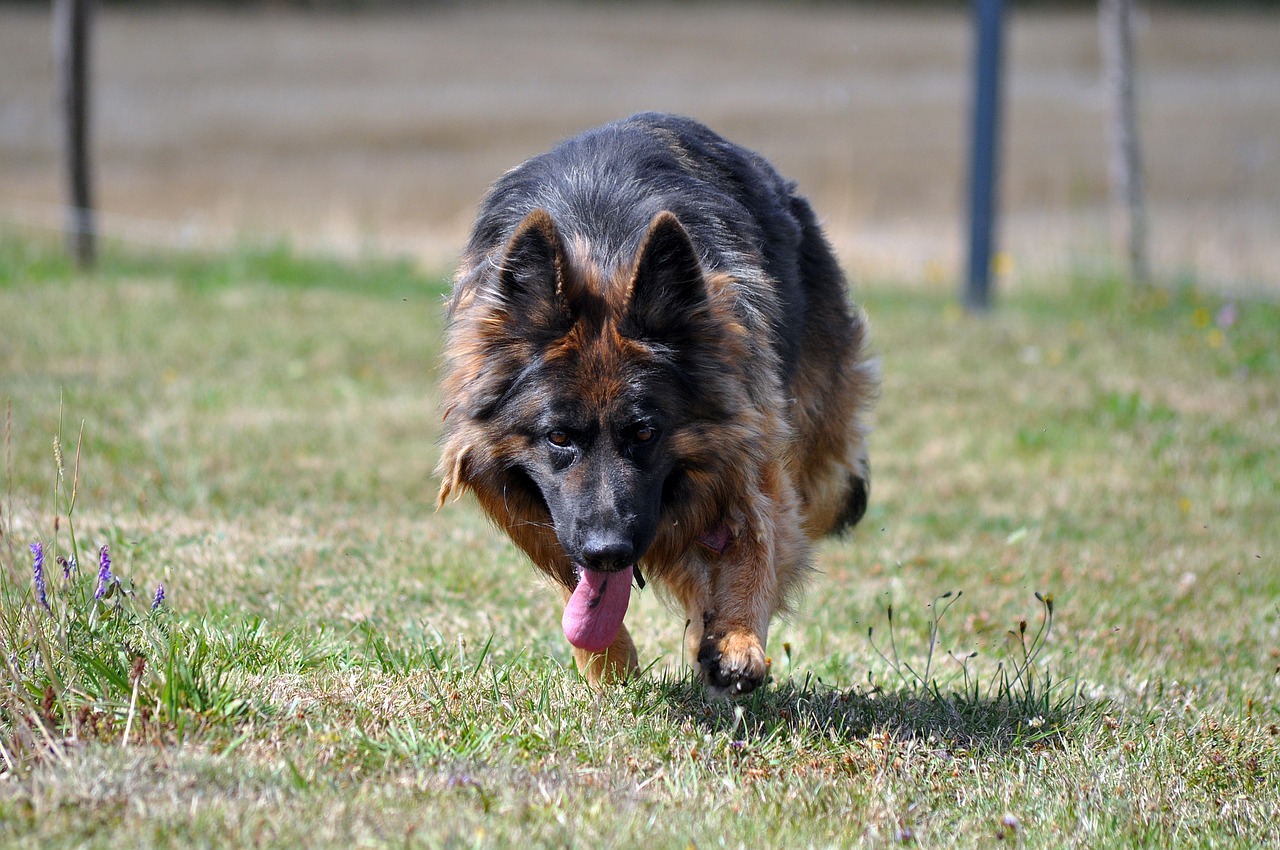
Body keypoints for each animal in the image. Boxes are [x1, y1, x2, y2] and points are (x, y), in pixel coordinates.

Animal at [435, 112, 875, 696]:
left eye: (645, 432)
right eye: (557, 437)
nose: (610, 552)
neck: (601, 245)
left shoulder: (747, 449)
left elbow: (758, 543)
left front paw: (738, 640)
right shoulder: (563, 525)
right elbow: (577, 586)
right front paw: (608, 664)